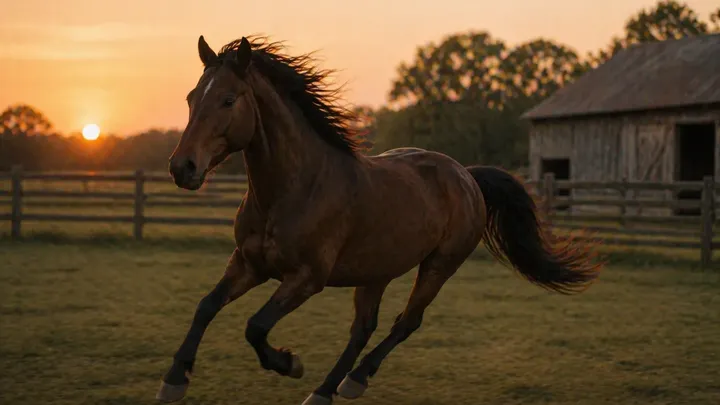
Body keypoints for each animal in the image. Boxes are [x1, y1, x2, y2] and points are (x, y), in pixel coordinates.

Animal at [157, 35, 603, 405]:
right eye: (191, 97)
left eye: (229, 100)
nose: (182, 167)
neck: (294, 189)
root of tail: (467, 175)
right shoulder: (248, 264)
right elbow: (206, 306)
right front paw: (174, 380)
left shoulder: (306, 278)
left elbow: (255, 326)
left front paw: (290, 363)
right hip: (376, 272)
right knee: (363, 328)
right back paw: (325, 391)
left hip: (439, 266)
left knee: (406, 322)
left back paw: (354, 381)